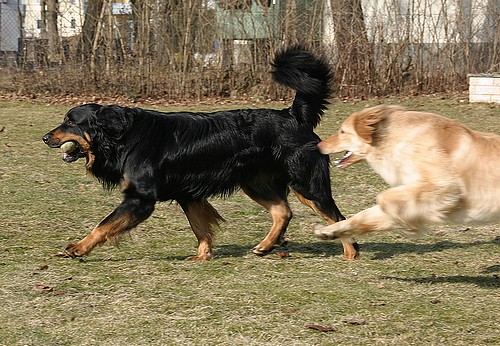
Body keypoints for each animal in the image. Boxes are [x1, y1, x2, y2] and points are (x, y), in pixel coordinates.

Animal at [41, 47, 358, 260]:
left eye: (70, 121)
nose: (45, 137)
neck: (123, 136)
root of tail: (293, 116)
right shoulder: (188, 193)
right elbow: (200, 227)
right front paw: (202, 256)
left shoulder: (140, 198)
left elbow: (103, 225)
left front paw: (78, 248)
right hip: (254, 182)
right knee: (283, 211)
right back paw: (266, 246)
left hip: (306, 183)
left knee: (335, 217)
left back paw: (351, 253)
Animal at [314, 105, 498, 241]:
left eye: (342, 131)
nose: (318, 146)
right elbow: (362, 216)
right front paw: (329, 231)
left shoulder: (445, 185)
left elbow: (384, 198)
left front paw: (408, 224)